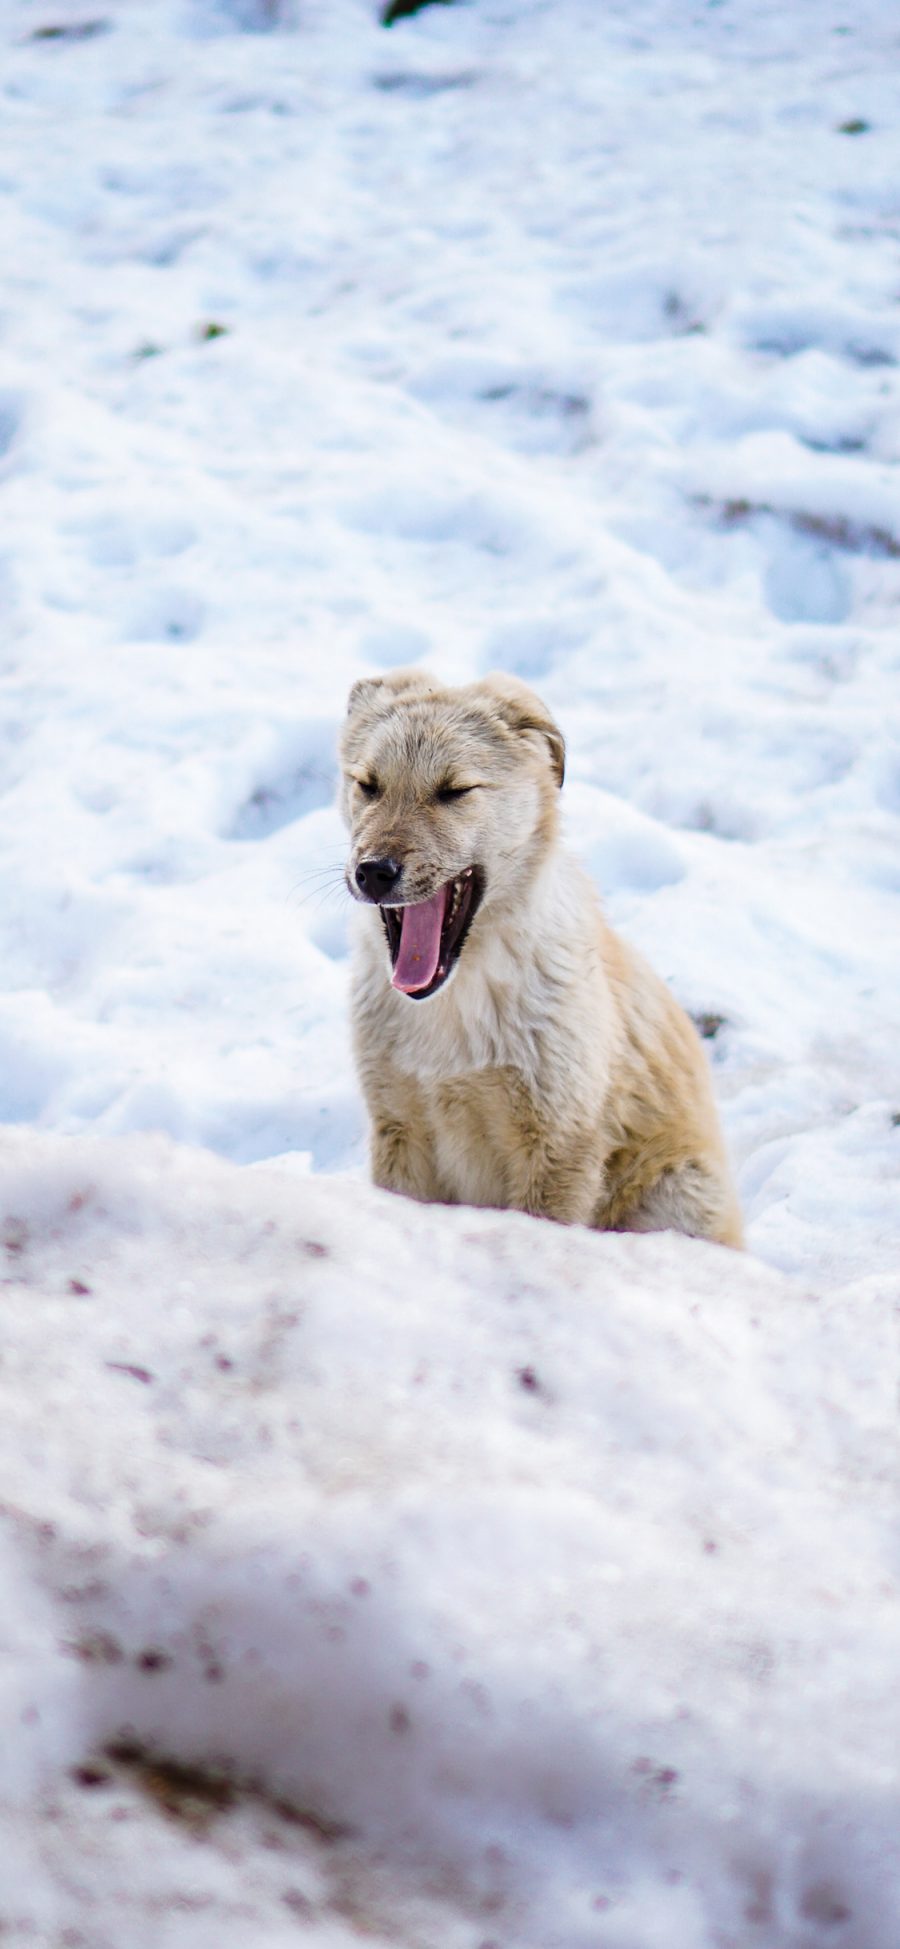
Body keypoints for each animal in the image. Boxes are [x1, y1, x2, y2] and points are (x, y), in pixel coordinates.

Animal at [340, 670, 740, 1247]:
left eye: (454, 791)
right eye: (368, 785)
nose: (373, 872)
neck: (457, 1006)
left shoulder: (559, 1142)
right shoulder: (398, 1125)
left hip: (675, 1195)